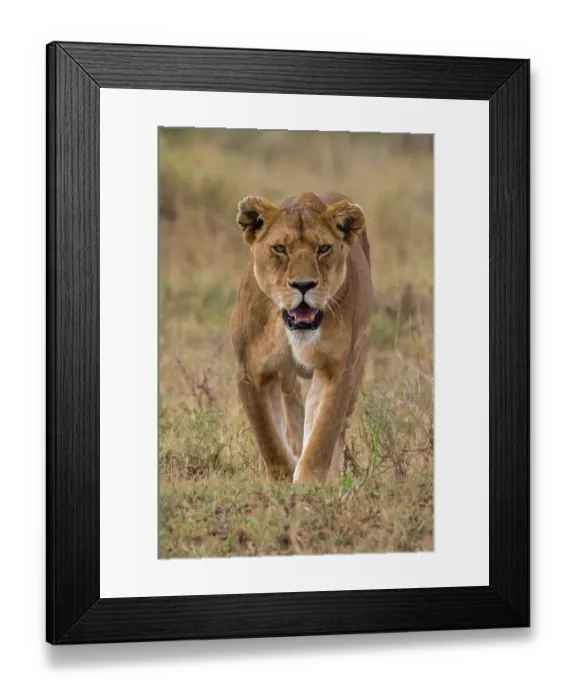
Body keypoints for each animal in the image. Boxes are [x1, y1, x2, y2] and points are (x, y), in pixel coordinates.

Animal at [229, 191, 374, 485]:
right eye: (280, 249)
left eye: (323, 249)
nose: (304, 285)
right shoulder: (250, 370)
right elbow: (267, 435)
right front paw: (283, 478)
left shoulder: (337, 369)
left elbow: (323, 432)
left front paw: (309, 483)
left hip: (358, 364)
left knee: (338, 428)